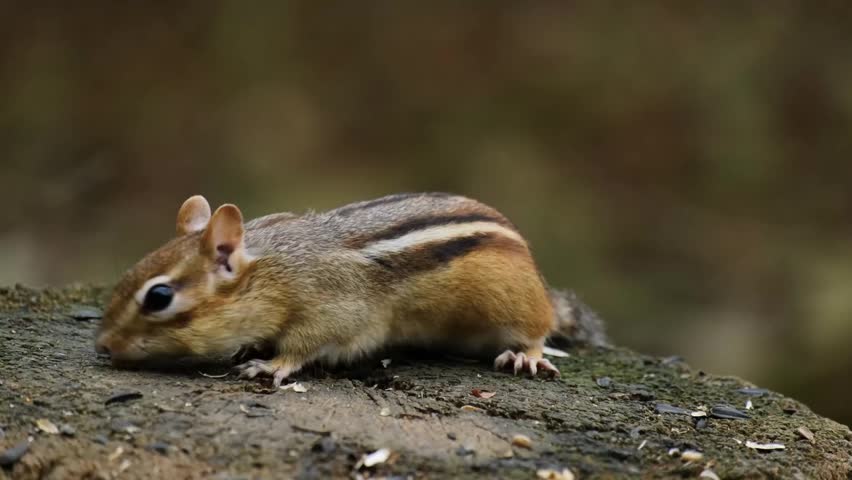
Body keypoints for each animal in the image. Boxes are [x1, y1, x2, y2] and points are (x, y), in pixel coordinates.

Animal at [96, 193, 608, 386]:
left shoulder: (334, 310)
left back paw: (527, 355)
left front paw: (271, 364)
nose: (103, 346)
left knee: (538, 328)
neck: (274, 268)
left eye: (159, 297)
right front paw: (252, 348)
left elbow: (306, 344)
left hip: (515, 304)